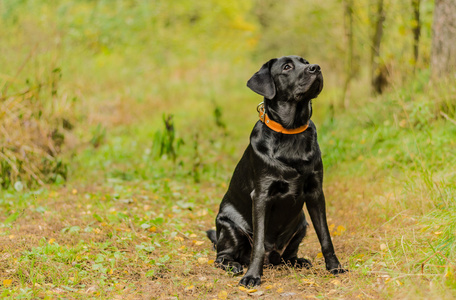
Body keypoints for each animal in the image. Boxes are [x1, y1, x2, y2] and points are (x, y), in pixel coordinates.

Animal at [207, 55, 346, 288]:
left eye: (305, 62)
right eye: (287, 67)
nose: (315, 68)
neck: (291, 132)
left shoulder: (316, 192)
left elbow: (325, 236)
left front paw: (335, 267)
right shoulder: (261, 195)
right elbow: (259, 244)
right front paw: (252, 276)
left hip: (302, 223)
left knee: (286, 256)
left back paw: (298, 261)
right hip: (229, 225)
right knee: (221, 256)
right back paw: (234, 265)